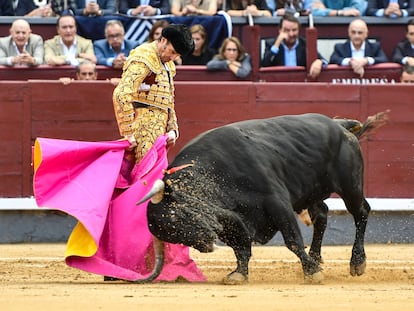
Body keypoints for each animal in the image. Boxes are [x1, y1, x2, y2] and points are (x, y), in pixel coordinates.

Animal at [136, 112, 388, 286]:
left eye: (176, 217)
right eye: (173, 235)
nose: (206, 246)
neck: (212, 171)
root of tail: (339, 125)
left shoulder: (277, 203)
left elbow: (292, 240)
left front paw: (311, 272)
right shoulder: (231, 218)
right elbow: (240, 247)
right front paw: (238, 274)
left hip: (350, 186)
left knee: (361, 212)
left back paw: (357, 262)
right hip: (310, 191)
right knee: (322, 215)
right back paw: (317, 257)